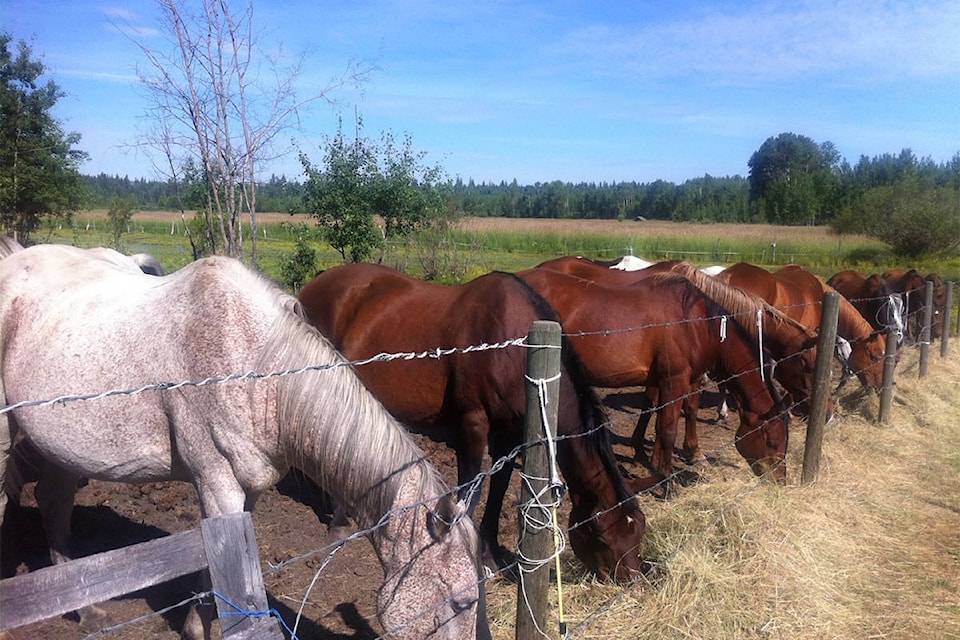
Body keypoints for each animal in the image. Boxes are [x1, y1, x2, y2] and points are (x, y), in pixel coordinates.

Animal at [0, 242, 492, 640]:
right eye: (462, 602)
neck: (260, 373)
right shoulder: (217, 486)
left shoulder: (247, 489)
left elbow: (216, 571)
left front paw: (196, 628)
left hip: (64, 447)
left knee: (53, 501)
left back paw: (87, 612)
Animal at [298, 262, 644, 584]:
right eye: (602, 536)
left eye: (638, 530)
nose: (630, 580)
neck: (513, 346)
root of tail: (313, 285)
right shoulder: (472, 425)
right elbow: (470, 490)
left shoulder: (509, 436)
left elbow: (497, 490)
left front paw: (490, 554)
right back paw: (340, 522)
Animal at [512, 264, 792, 484]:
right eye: (773, 443)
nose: (779, 481)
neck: (697, 323)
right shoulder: (674, 381)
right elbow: (667, 431)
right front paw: (666, 482)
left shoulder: (673, 381)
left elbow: (662, 420)